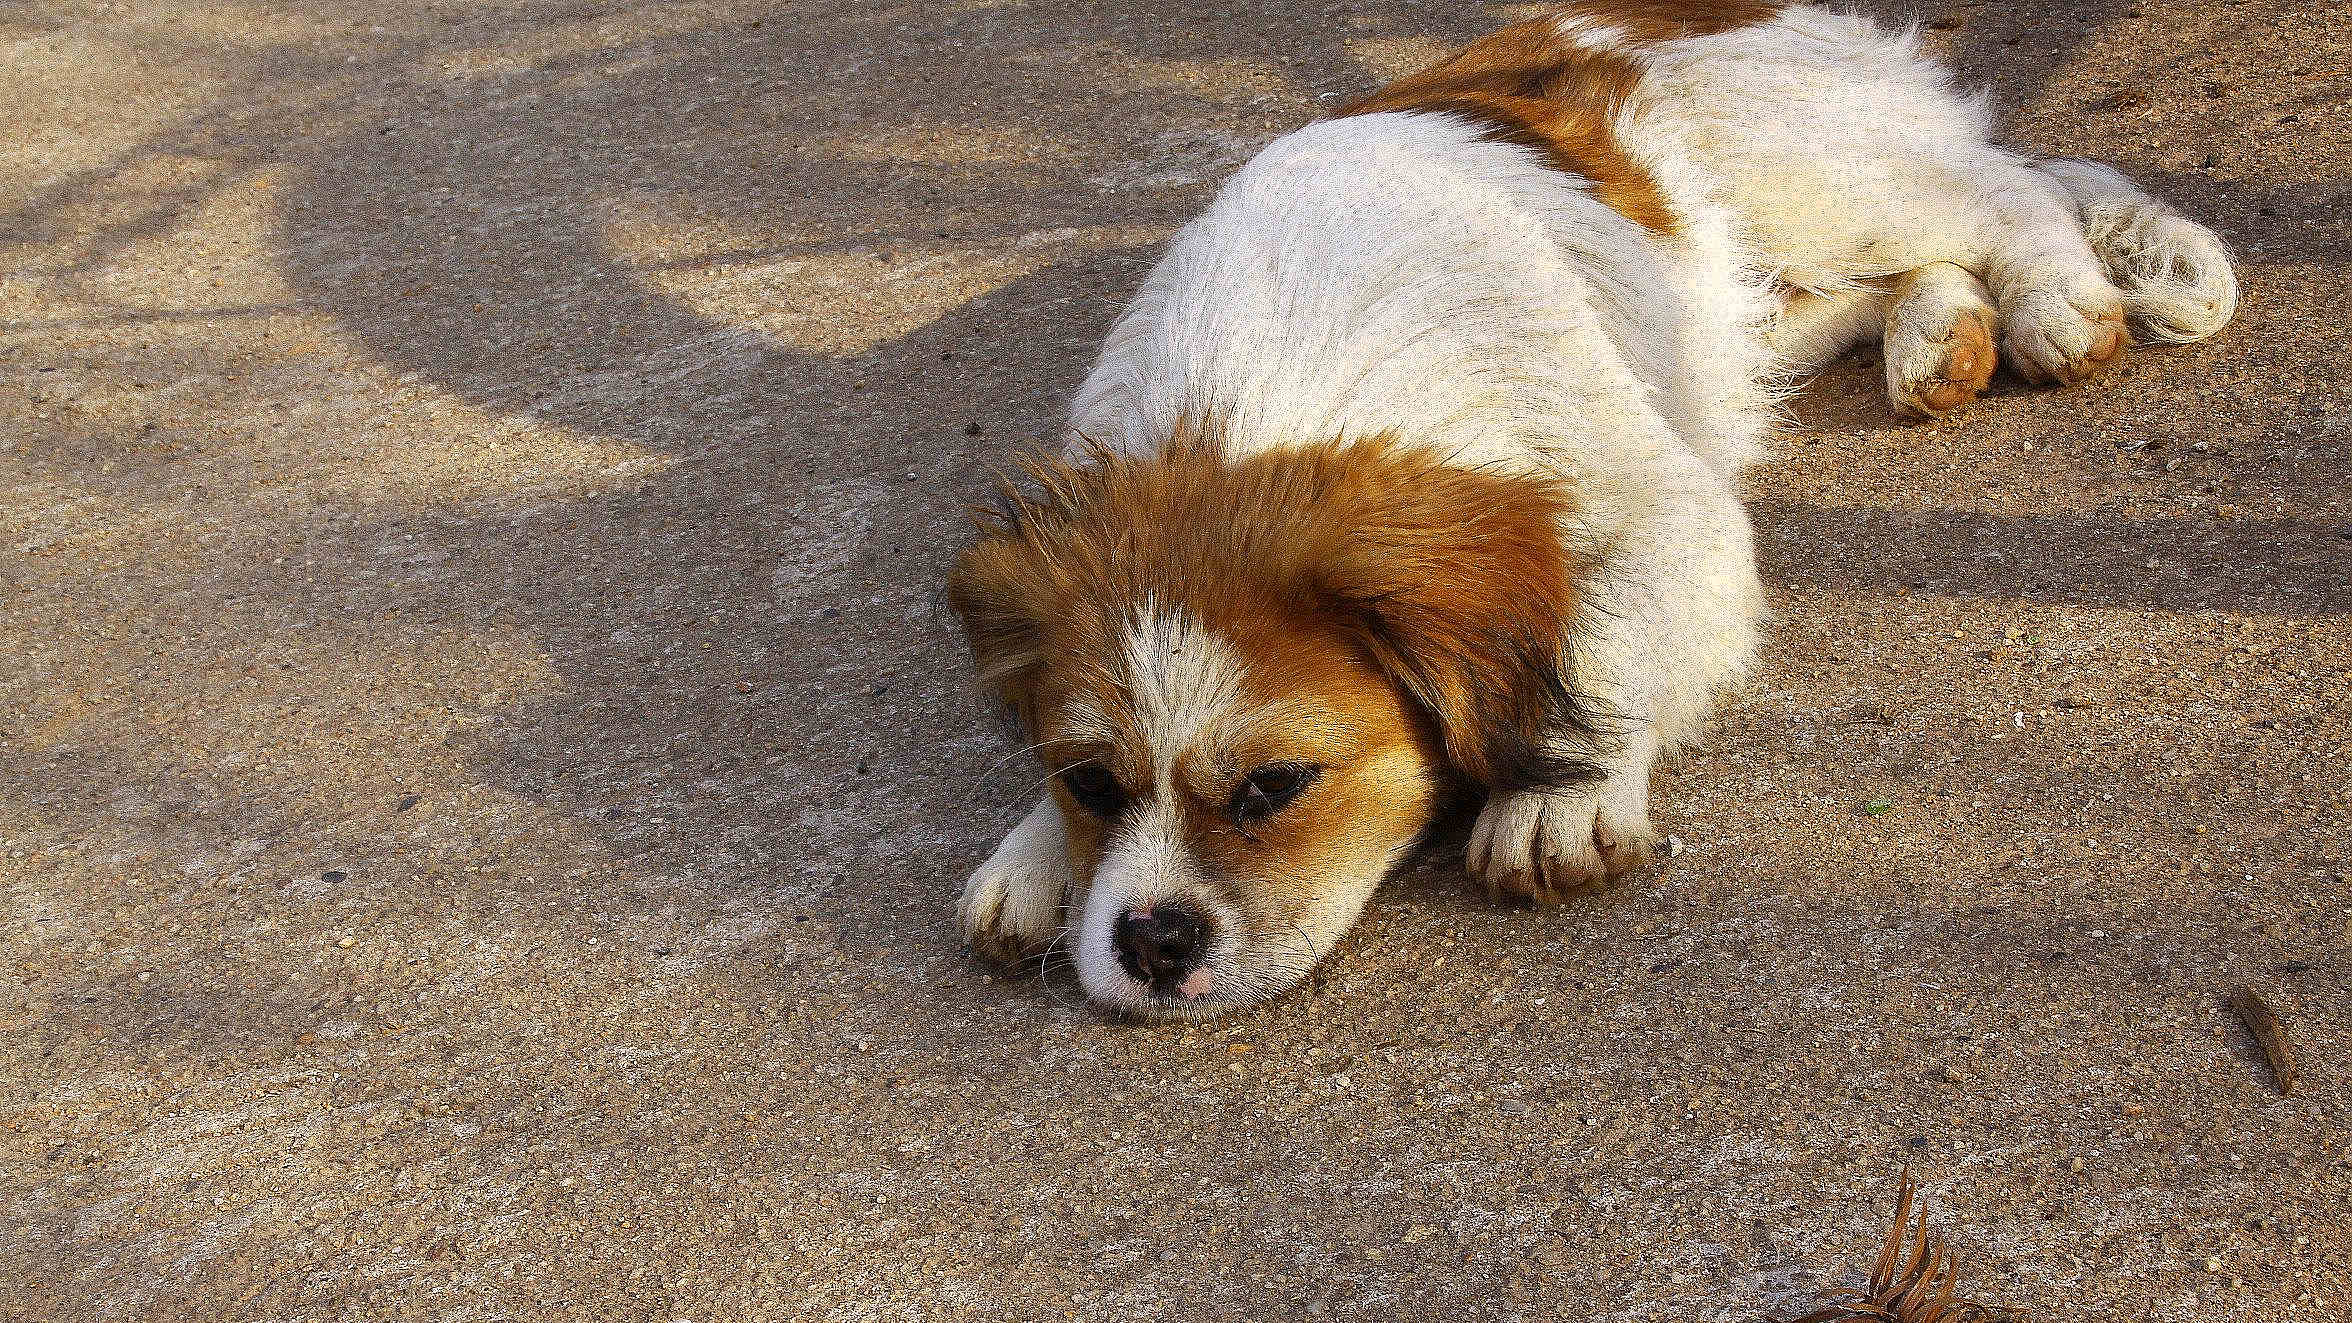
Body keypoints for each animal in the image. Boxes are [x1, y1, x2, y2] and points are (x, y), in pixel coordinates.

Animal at [936, 0, 2220, 1012]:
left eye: (1274, 788)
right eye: (1089, 784)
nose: (1148, 940)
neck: (1257, 402)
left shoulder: (1676, 520)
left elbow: (1604, 644)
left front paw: (1565, 795)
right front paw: (1037, 855)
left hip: (1825, 183)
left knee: (2007, 200)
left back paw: (2052, 301)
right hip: (1749, 311)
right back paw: (1941, 334)